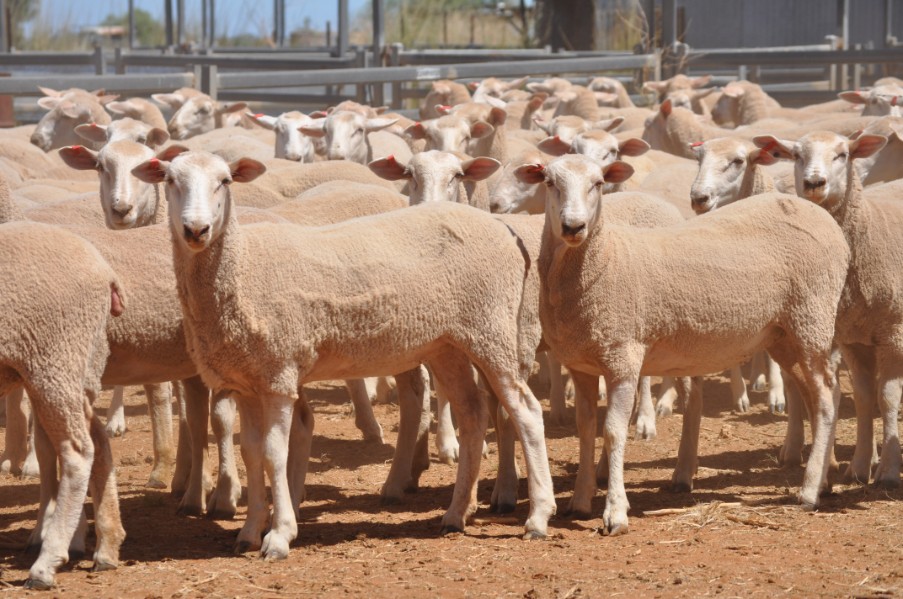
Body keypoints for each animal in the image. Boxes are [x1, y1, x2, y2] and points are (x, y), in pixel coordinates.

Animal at [0, 220, 126, 589]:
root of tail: (104, 269)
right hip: (72, 367)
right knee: (97, 439)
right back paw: (107, 547)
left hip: (54, 357)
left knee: (77, 452)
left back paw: (47, 563)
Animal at [132, 150, 557, 553]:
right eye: (170, 180)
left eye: (224, 181)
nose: (196, 229)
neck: (242, 267)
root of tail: (504, 230)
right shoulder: (247, 378)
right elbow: (252, 454)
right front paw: (249, 532)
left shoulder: (279, 372)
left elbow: (273, 454)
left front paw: (279, 535)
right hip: (447, 343)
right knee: (472, 413)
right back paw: (456, 514)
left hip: (492, 329)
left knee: (526, 412)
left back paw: (537, 516)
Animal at [516, 152, 850, 534]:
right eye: (550, 183)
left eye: (598, 183)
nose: (573, 226)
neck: (603, 259)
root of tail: (822, 217)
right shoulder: (582, 364)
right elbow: (586, 430)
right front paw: (581, 500)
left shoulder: (622, 358)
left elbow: (613, 433)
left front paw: (615, 513)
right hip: (784, 333)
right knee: (821, 395)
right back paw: (824, 479)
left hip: (812, 317)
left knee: (826, 398)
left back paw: (808, 492)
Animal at [754, 131, 903, 487]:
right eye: (796, 155)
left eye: (842, 155)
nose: (814, 183)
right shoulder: (852, 338)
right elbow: (864, 398)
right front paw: (860, 466)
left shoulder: (894, 332)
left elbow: (888, 397)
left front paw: (889, 471)